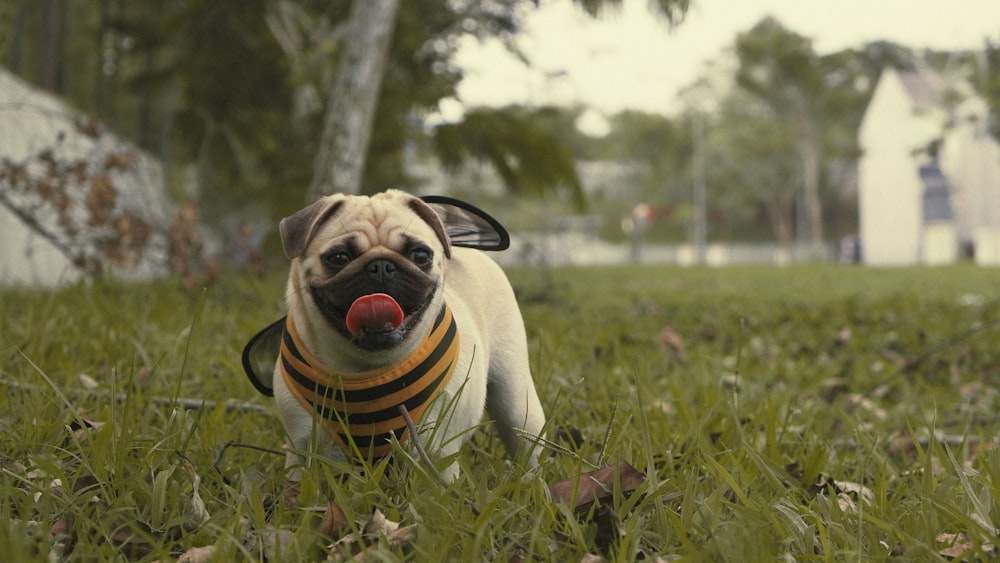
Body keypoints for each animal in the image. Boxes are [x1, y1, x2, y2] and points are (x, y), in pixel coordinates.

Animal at [243, 189, 548, 480]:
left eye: (420, 256)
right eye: (339, 258)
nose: (380, 265)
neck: (365, 368)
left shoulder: (435, 449)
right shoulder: (303, 446)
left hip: (517, 404)